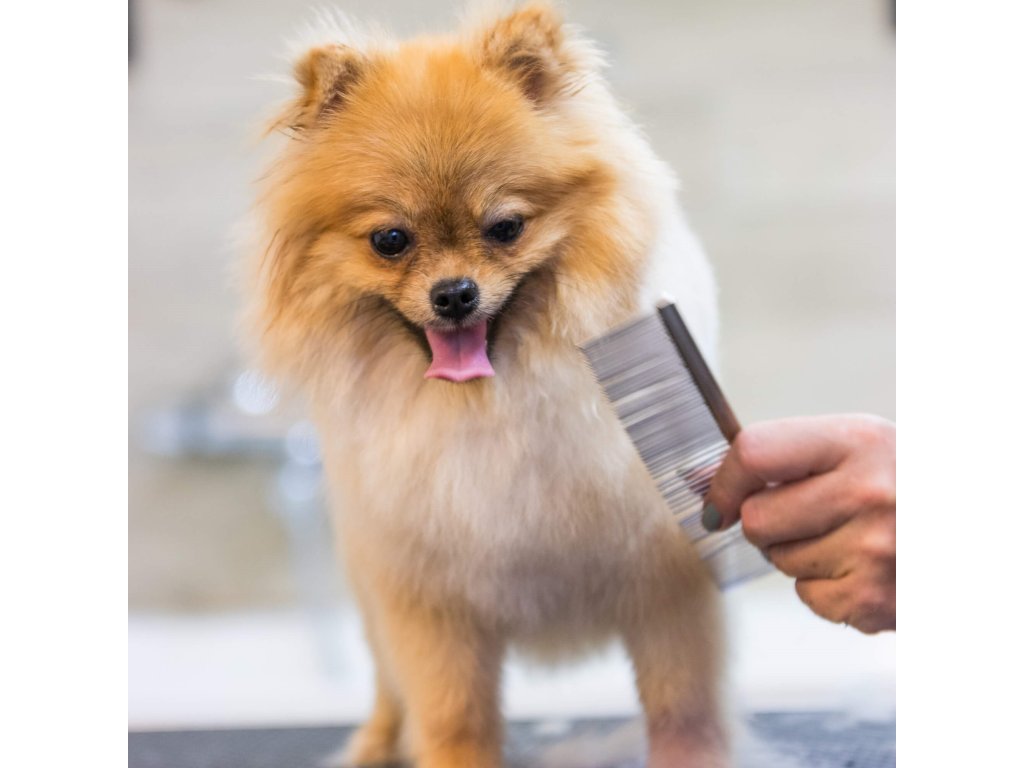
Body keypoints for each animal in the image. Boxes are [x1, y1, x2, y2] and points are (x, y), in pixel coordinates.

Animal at [250, 4, 726, 766]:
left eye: (505, 227)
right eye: (390, 240)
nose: (454, 294)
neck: (489, 405)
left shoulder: (665, 577)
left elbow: (683, 706)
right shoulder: (431, 602)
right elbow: (453, 718)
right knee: (385, 685)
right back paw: (373, 742)